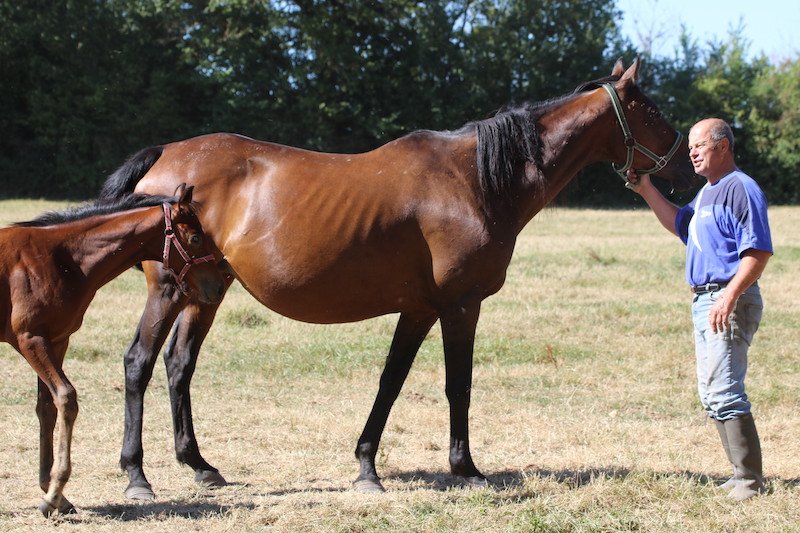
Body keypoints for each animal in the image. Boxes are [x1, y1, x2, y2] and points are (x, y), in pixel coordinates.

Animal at [0, 185, 225, 516]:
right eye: (196, 238)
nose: (218, 287)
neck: (61, 258)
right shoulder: (30, 339)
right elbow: (66, 398)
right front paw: (54, 492)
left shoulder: (56, 340)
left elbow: (47, 408)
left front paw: (53, 493)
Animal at [97, 58, 698, 498]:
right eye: (650, 111)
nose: (688, 169)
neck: (475, 180)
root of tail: (166, 155)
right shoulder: (460, 305)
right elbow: (458, 385)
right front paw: (466, 468)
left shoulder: (420, 308)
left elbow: (390, 381)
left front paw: (366, 467)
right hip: (168, 289)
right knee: (139, 363)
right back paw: (137, 476)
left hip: (206, 290)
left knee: (179, 365)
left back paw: (199, 465)